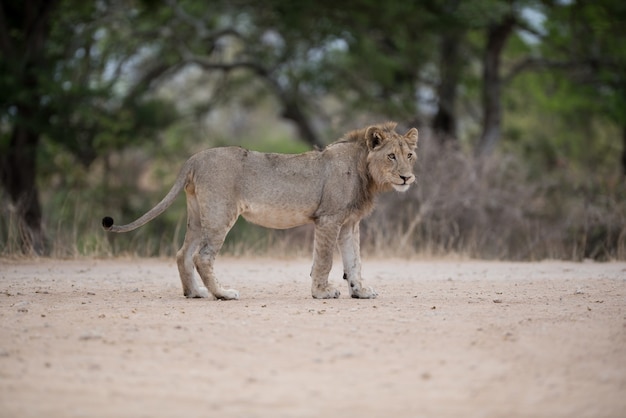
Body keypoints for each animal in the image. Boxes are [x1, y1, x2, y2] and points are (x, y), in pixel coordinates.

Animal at [102, 121, 416, 300]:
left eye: (410, 155)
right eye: (391, 156)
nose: (407, 178)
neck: (365, 170)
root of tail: (194, 158)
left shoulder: (350, 224)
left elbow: (355, 261)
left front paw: (360, 291)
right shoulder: (328, 219)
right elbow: (325, 260)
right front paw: (322, 293)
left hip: (198, 217)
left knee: (183, 254)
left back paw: (195, 293)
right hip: (220, 213)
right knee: (203, 256)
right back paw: (222, 293)